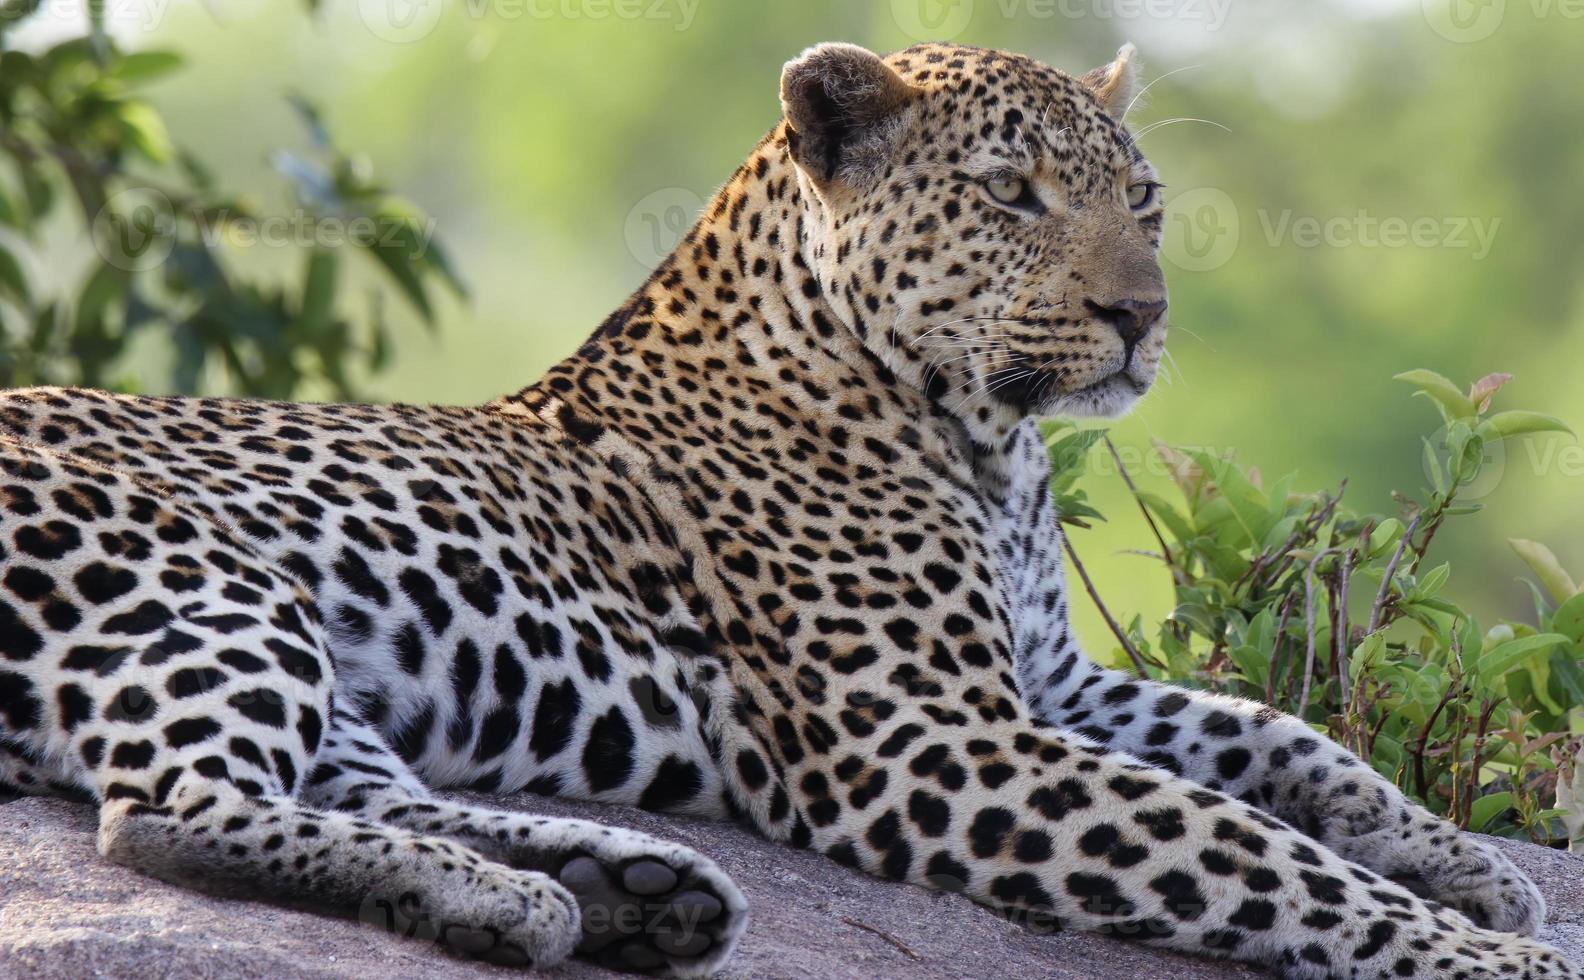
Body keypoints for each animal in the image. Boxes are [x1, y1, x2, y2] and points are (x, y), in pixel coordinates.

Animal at [0, 40, 1577, 980]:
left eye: (1141, 200)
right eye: (1012, 194)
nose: (1141, 313)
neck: (989, 446)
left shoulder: (1046, 686)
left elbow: (1284, 743)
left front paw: (1468, 870)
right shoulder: (926, 735)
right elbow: (1242, 843)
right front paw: (1493, 957)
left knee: (340, 785)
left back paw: (623, 888)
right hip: (207, 583)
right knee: (166, 812)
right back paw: (533, 901)